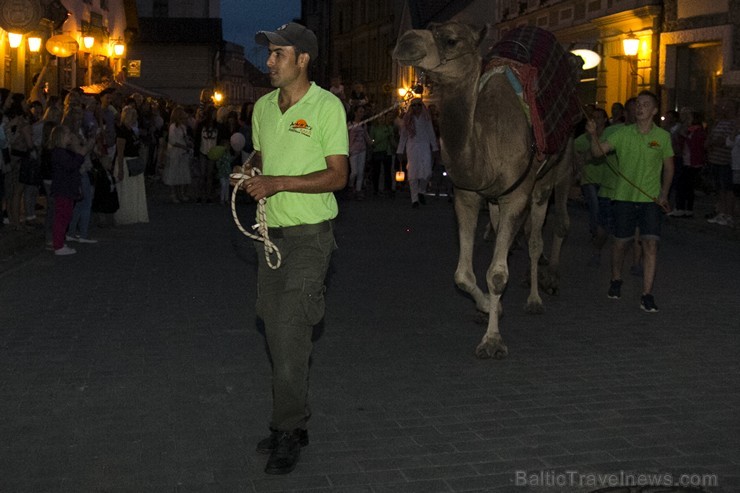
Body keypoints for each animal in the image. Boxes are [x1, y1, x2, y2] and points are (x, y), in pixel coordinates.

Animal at [394, 22, 580, 358]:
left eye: (451, 40)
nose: (405, 42)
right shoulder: (467, 195)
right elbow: (463, 275)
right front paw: (489, 309)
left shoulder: (517, 195)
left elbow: (497, 273)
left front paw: (493, 341)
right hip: (498, 199)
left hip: (554, 172)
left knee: (543, 234)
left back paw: (539, 294)